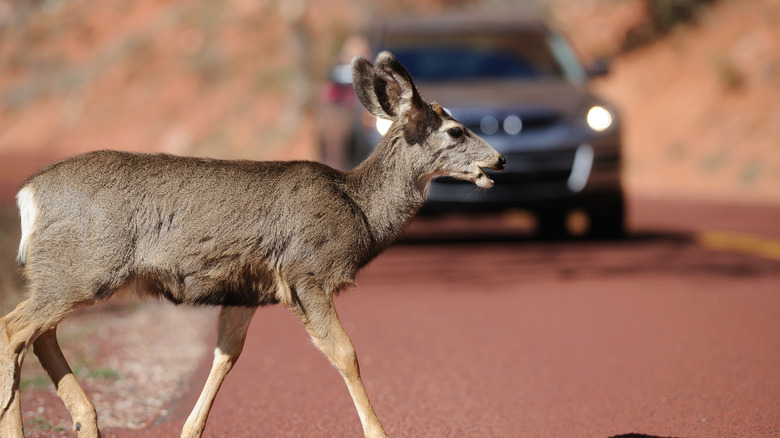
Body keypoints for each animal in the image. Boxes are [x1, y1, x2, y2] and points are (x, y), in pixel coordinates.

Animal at [0, 52, 506, 438]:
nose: (499, 159)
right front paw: (378, 432)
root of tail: (27, 195)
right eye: (456, 131)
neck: (359, 209)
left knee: (39, 334)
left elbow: (226, 356)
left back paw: (86, 420)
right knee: (13, 328)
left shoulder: (246, 290)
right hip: (85, 267)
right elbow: (347, 354)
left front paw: (190, 430)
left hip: (66, 273)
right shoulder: (307, 272)